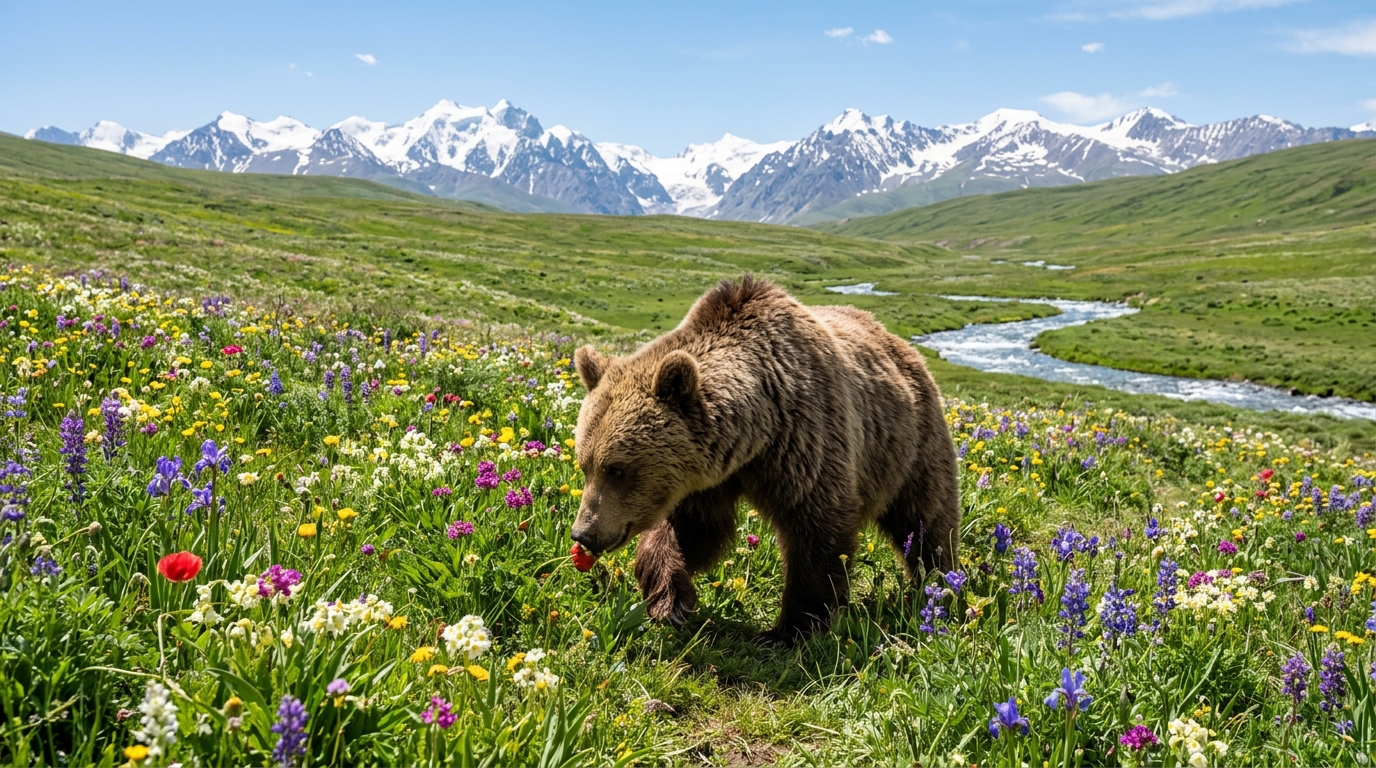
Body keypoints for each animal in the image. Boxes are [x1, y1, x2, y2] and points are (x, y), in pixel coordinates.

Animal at [569, 276, 960, 644]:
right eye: (585, 465)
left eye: (617, 469)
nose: (583, 533)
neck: (757, 433)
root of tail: (900, 342)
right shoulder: (709, 472)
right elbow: (695, 529)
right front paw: (670, 599)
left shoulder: (805, 440)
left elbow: (816, 530)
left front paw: (790, 630)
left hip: (909, 443)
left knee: (926, 519)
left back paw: (940, 585)